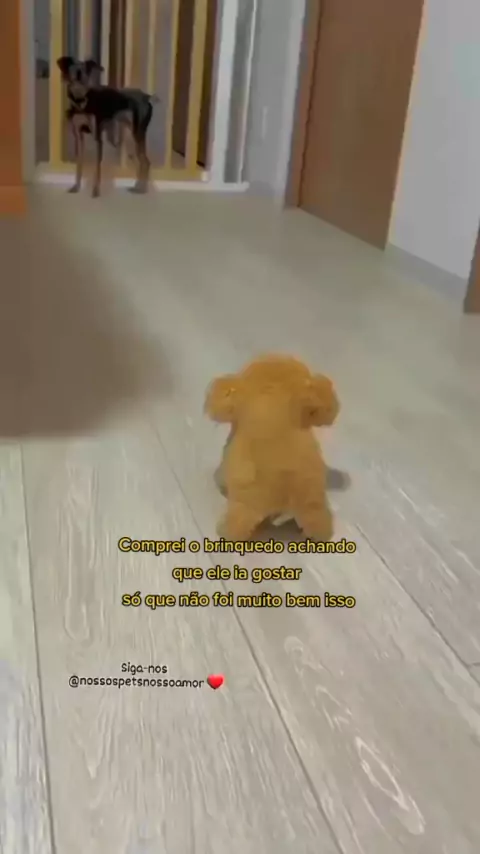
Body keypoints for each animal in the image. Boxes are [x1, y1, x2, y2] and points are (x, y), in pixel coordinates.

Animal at [57, 56, 157, 197]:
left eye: (86, 69)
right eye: (73, 67)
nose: (80, 75)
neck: (81, 102)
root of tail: (146, 97)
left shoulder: (98, 138)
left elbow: (97, 167)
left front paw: (96, 190)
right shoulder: (79, 137)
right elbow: (79, 164)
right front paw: (76, 187)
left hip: (137, 134)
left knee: (146, 162)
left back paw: (142, 189)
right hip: (130, 139)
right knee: (141, 162)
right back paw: (137, 186)